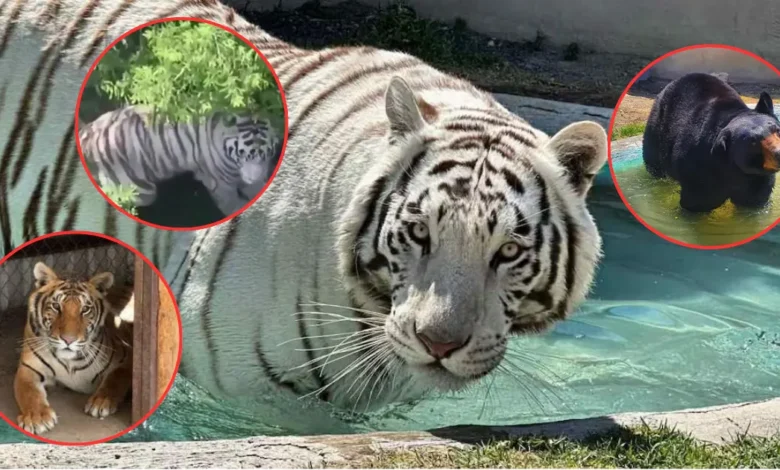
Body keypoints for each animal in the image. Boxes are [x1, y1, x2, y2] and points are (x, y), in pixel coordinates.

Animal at [14, 262, 133, 435]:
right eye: (56, 306)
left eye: (85, 309)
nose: (68, 340)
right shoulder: (28, 368)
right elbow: (29, 392)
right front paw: (37, 418)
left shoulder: (127, 359)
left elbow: (115, 378)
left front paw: (101, 401)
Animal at [79, 106, 283, 217]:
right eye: (243, 154)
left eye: (266, 153)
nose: (253, 177)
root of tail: (88, 135)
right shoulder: (222, 183)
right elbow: (232, 204)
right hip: (141, 192)